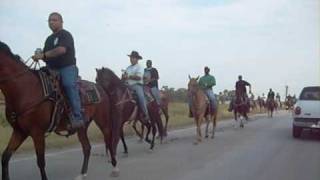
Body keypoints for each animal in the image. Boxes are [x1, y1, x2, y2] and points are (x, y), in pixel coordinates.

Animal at [0, 41, 120, 179]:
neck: (24, 89)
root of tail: (100, 88)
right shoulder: (19, 132)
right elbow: (5, 157)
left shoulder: (37, 132)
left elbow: (40, 162)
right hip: (82, 126)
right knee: (87, 147)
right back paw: (82, 174)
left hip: (103, 121)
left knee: (109, 140)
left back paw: (115, 168)